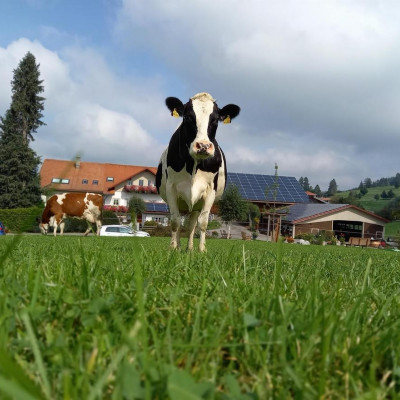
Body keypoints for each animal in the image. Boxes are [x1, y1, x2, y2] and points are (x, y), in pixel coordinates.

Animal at [155, 92, 239, 252]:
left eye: (215, 120)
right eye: (188, 117)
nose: (203, 146)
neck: (193, 166)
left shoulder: (210, 190)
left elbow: (203, 222)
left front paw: (202, 250)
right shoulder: (171, 188)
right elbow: (175, 221)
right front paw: (172, 248)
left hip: (196, 206)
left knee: (191, 225)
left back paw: (190, 249)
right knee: (179, 221)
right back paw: (178, 247)